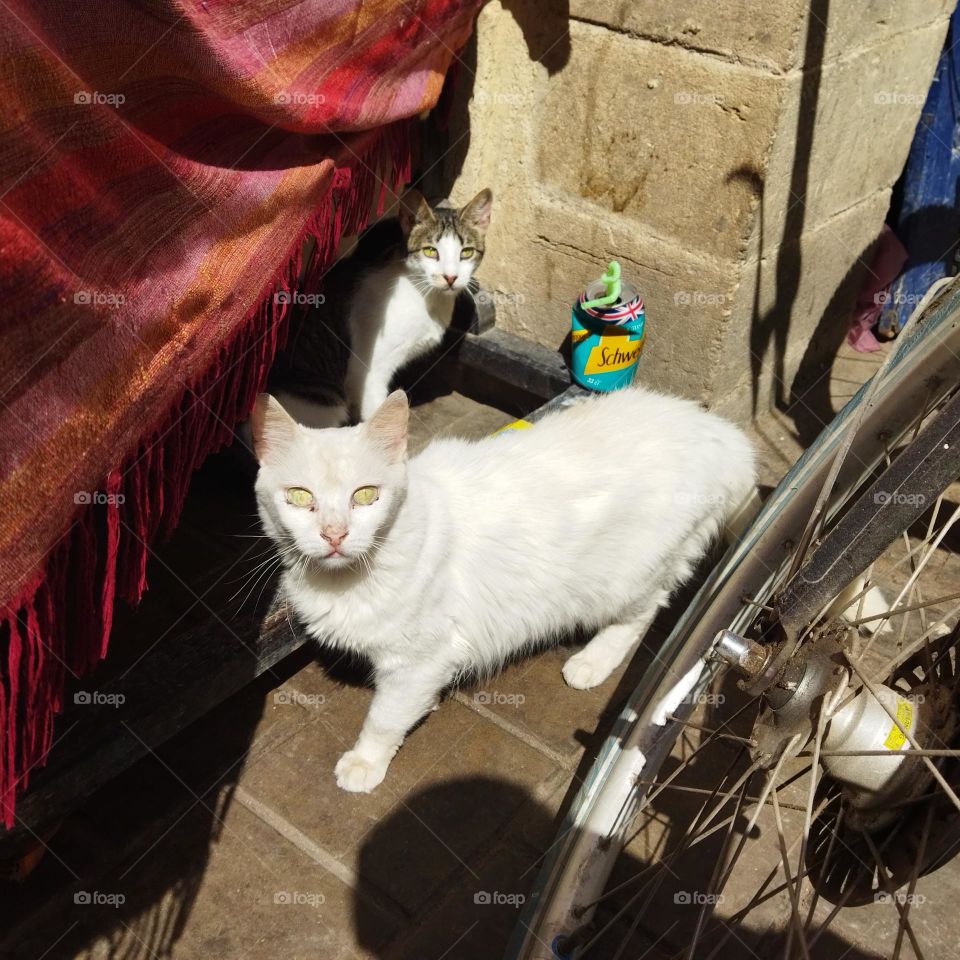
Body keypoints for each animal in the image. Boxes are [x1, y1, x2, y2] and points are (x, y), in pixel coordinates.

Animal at [249, 386, 756, 792]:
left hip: (628, 577)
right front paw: (426, 706)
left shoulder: (418, 658)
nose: (334, 534)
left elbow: (384, 716)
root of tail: (721, 435)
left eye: (366, 495)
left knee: (644, 612)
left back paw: (592, 662)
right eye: (299, 497)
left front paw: (366, 762)